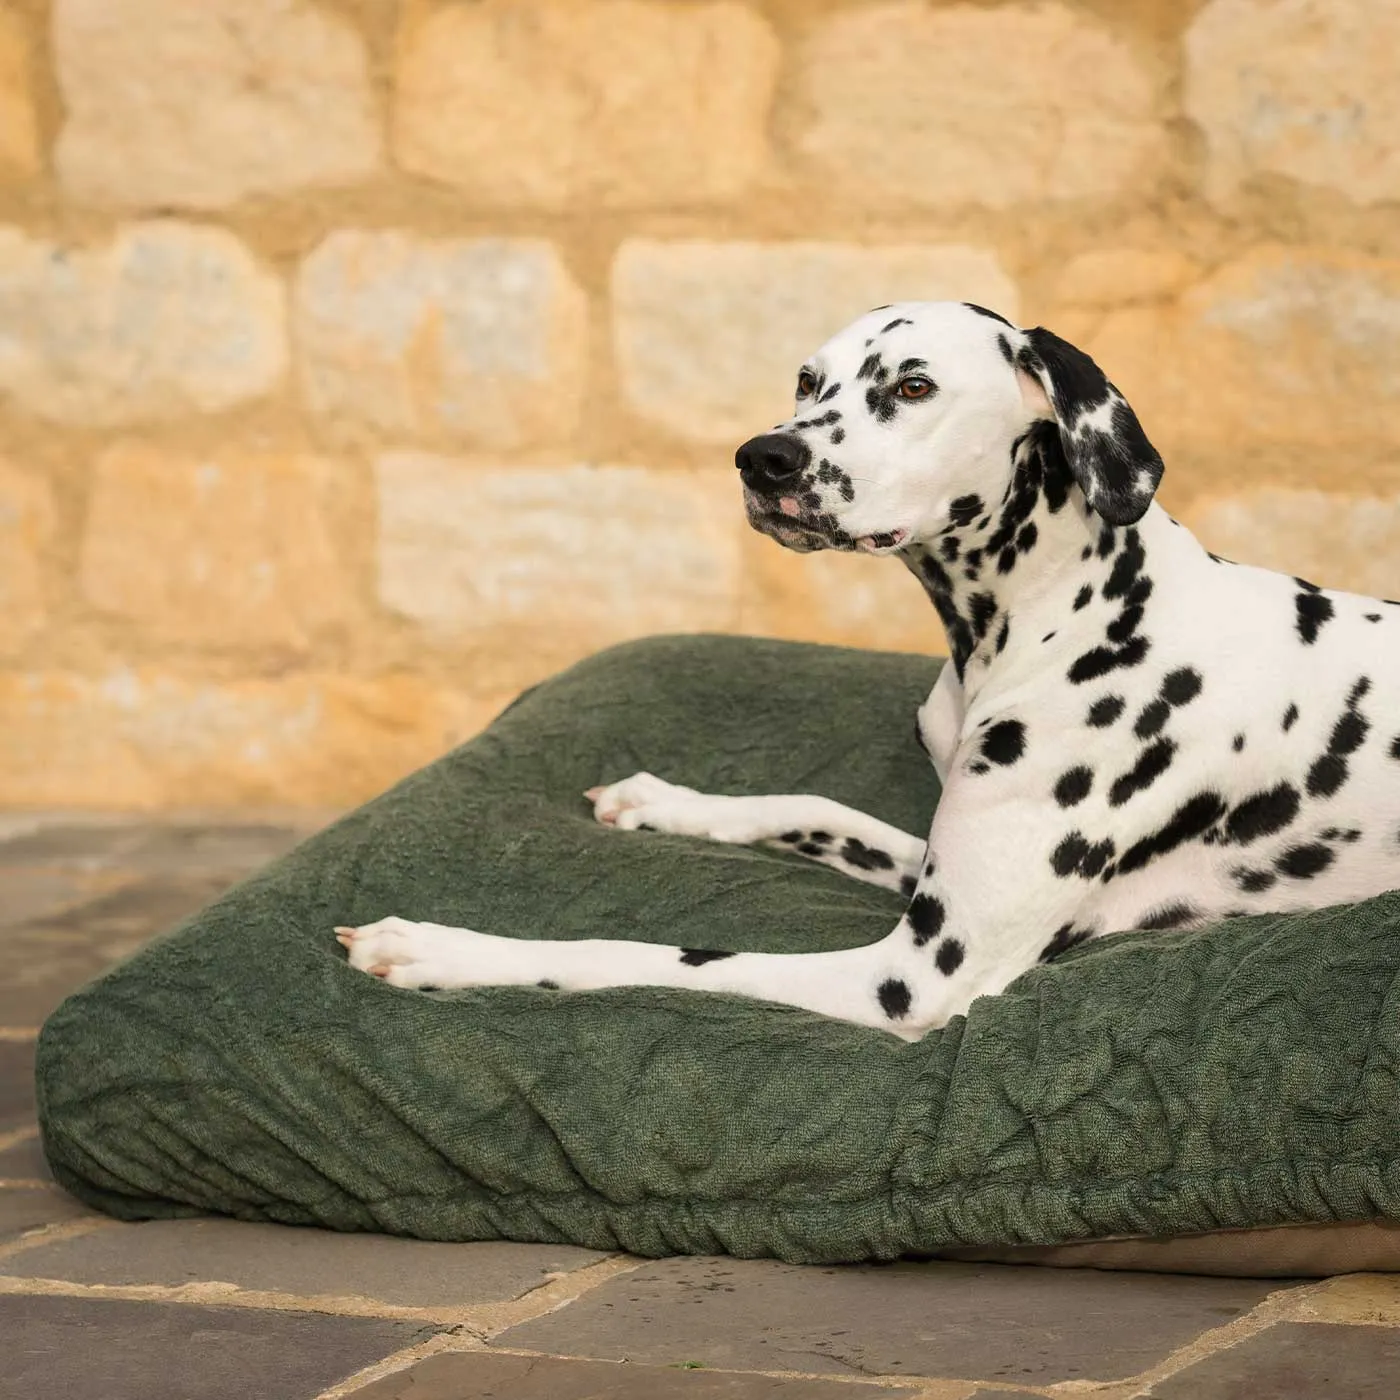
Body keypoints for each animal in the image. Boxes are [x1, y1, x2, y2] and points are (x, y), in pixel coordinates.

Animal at [338, 298, 1400, 1041]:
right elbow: (817, 807)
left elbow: (648, 955)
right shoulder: (927, 863)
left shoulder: (914, 976)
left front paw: (437, 947)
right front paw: (664, 801)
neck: (1063, 612)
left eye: (914, 387)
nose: (761, 458)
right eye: (809, 380)